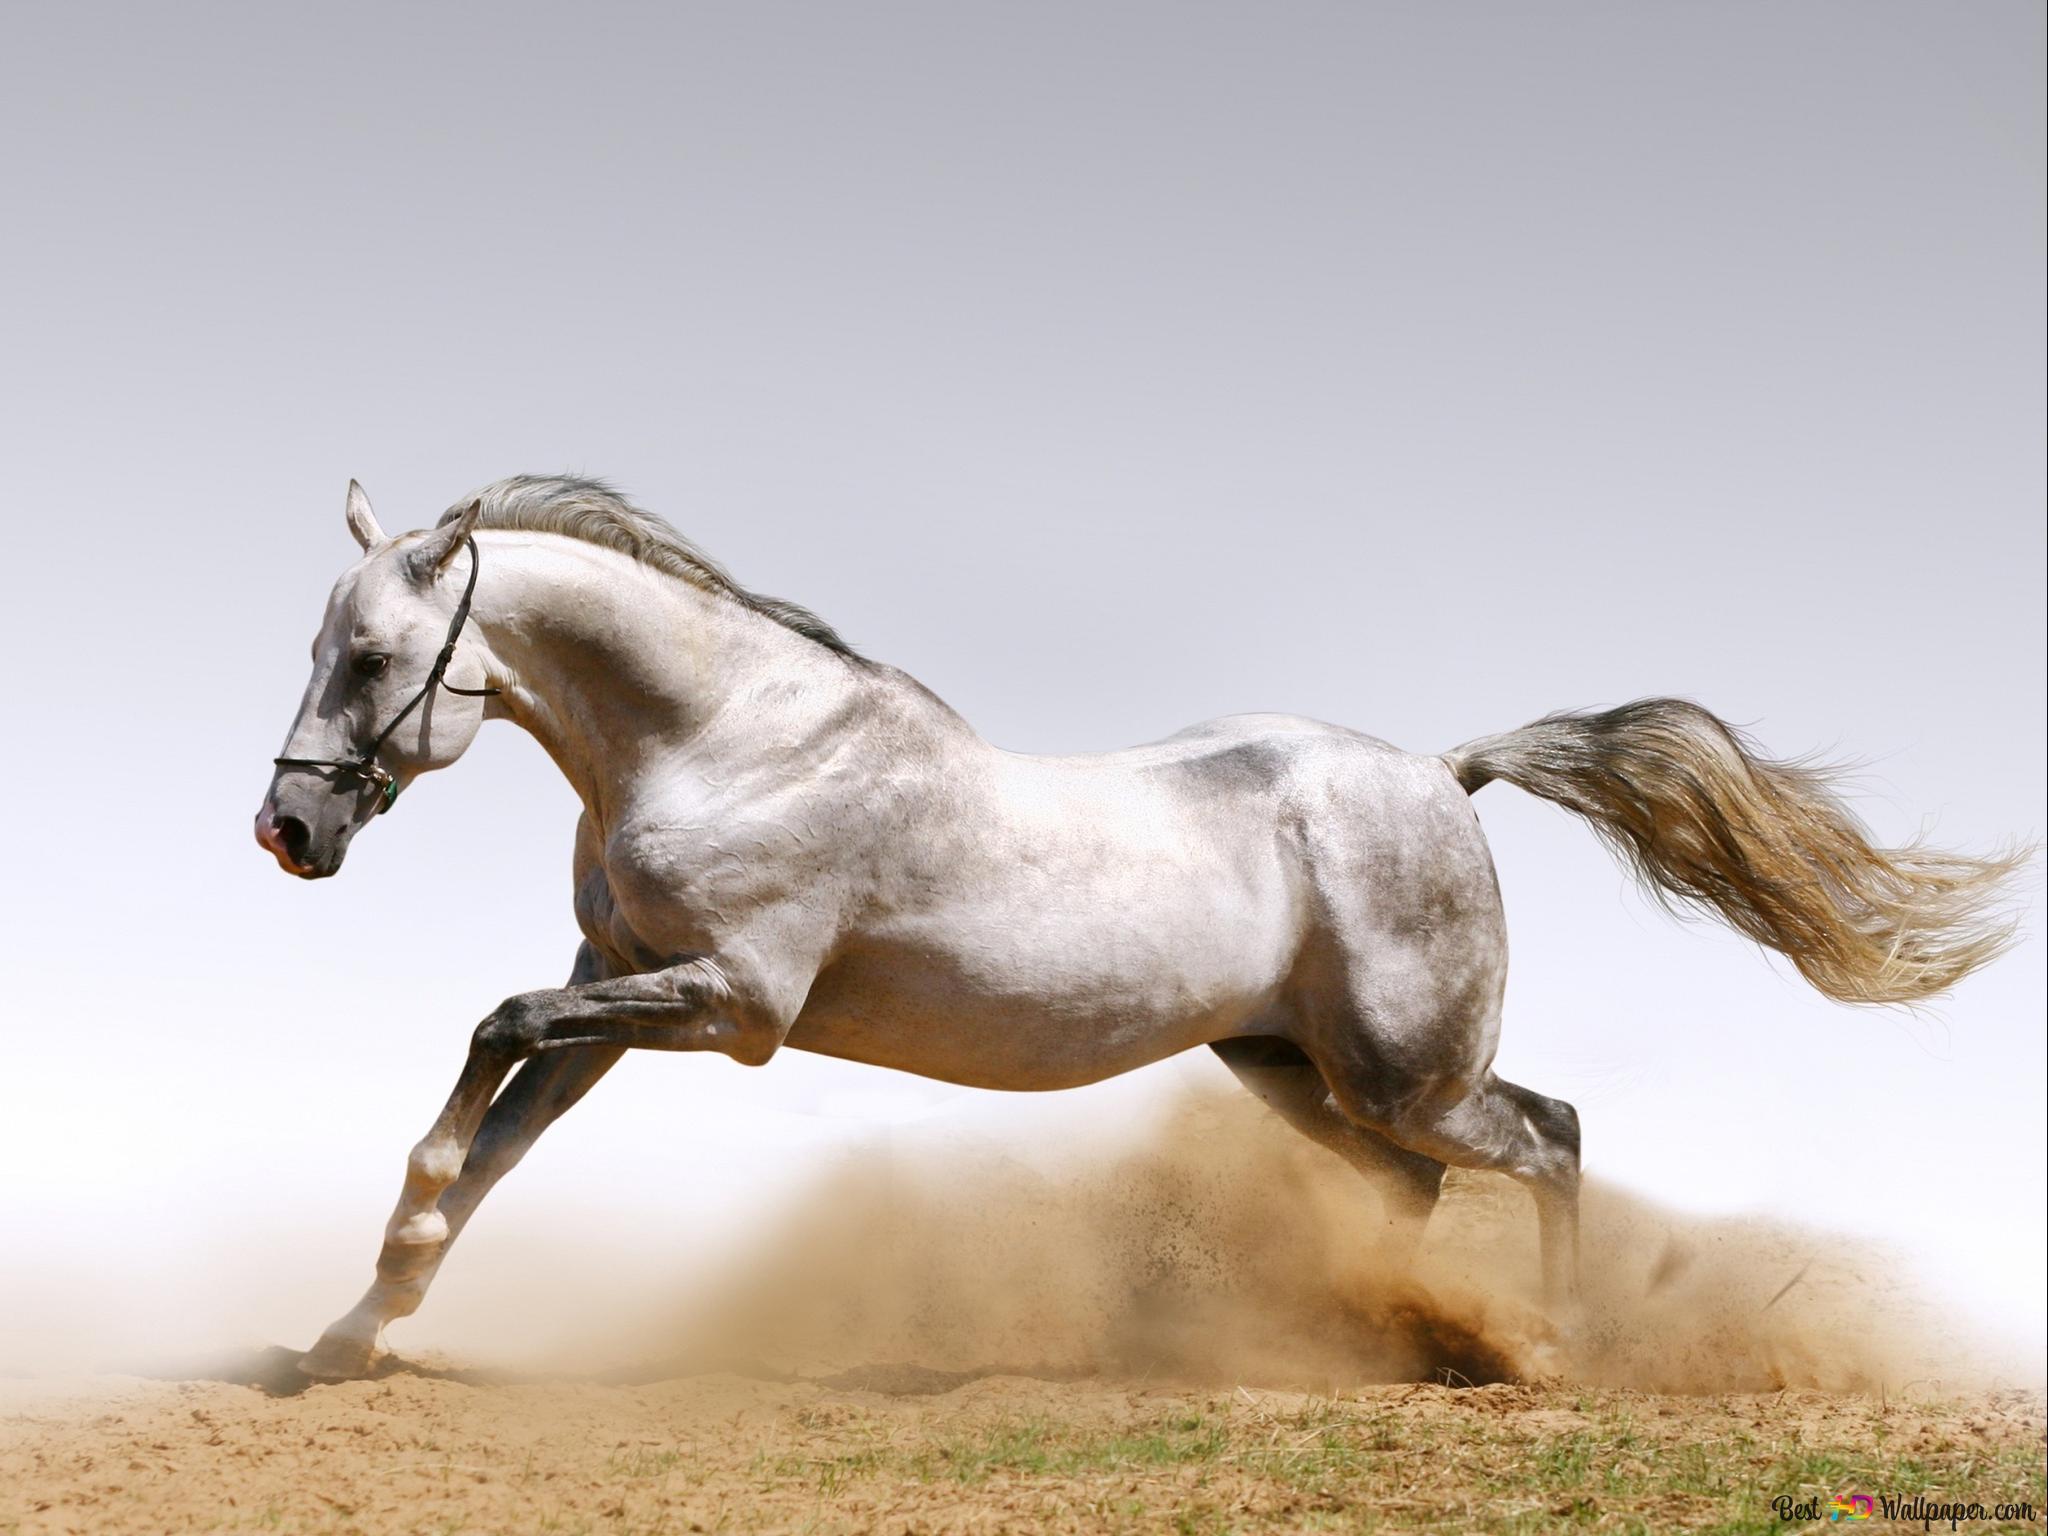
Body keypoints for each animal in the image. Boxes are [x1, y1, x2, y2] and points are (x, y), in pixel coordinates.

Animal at [256, 475, 2023, 1381]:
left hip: (1408, 1069)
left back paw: (1551, 1349)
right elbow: (496, 1139)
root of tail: (1445, 774)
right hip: (1288, 1068)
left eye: (373, 657)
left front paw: (373, 1285)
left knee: (1552, 1137)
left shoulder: (729, 1006)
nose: (289, 832)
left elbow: (486, 1043)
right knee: (1418, 1187)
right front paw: (352, 1331)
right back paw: (1378, 1338)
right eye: (324, 645)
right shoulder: (621, 982)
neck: (727, 738)